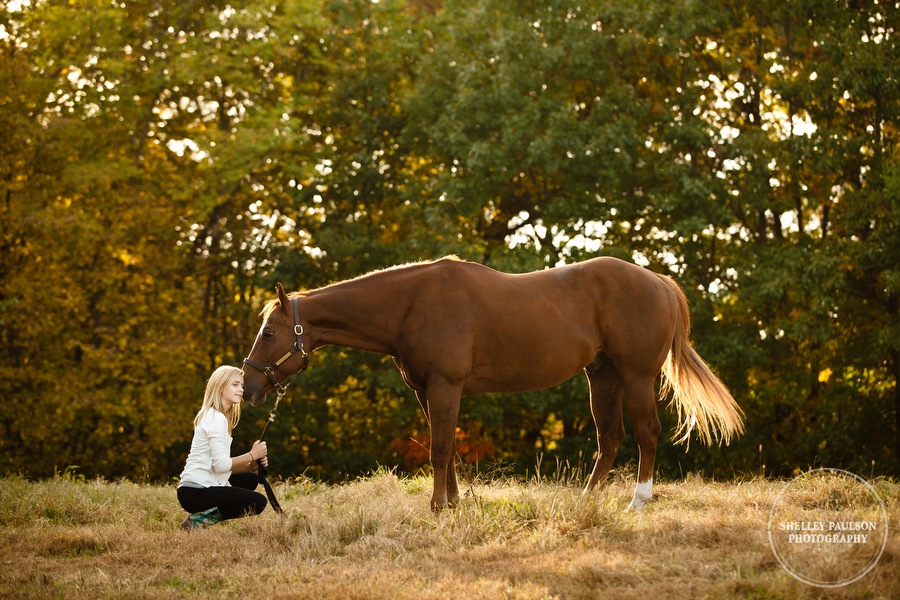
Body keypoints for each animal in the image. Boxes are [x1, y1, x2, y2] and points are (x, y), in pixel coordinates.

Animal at [241, 254, 744, 510]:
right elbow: (445, 449)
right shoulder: (428, 392)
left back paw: (638, 501)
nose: (248, 387)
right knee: (611, 438)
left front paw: (438, 509)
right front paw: (454, 504)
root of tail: (658, 280)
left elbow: (440, 449)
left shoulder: (445, 386)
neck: (410, 304)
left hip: (637, 375)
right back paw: (586, 501)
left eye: (269, 334)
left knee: (646, 434)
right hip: (603, 376)